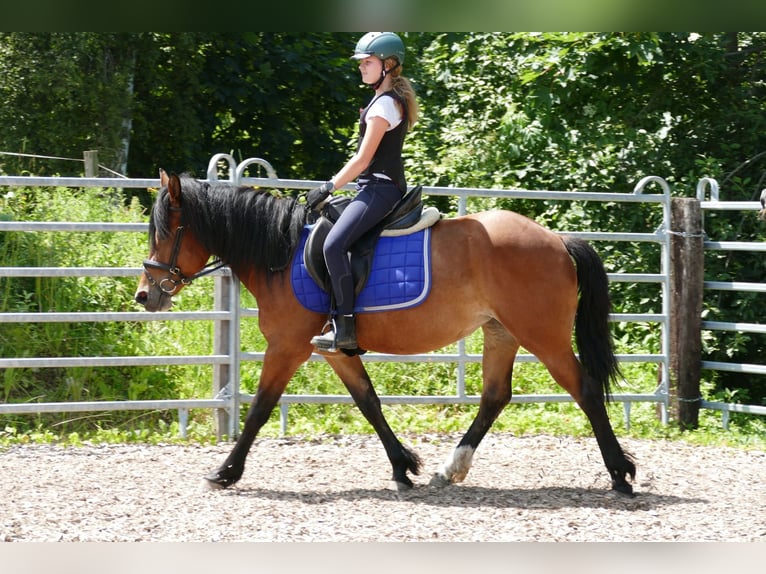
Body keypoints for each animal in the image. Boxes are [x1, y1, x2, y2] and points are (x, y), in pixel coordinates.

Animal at [136, 170, 636, 496]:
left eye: (165, 232)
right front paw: (403, 466)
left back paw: (620, 474)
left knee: (584, 389)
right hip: (501, 333)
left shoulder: (287, 347)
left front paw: (226, 471)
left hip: (541, 335)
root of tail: (557, 239)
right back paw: (449, 469)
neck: (280, 252)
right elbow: (368, 402)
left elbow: (260, 408)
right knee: (495, 396)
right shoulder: (333, 349)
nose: (145, 294)